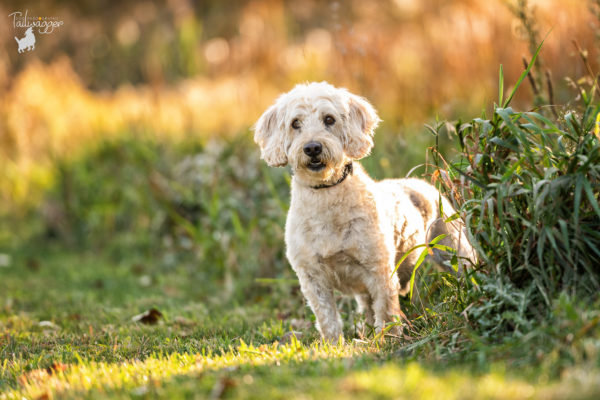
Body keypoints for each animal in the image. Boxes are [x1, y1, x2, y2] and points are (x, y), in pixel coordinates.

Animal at [253, 82, 478, 344]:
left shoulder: (379, 269)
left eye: (329, 119)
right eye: (295, 123)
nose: (312, 148)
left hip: (454, 250)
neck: (326, 195)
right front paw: (334, 345)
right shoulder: (312, 277)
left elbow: (386, 311)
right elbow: (327, 319)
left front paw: (388, 340)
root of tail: (425, 185)